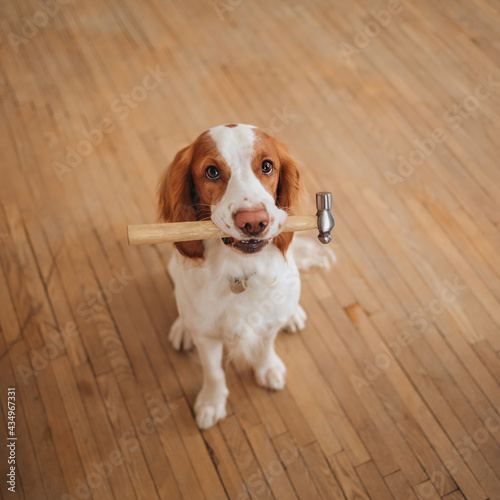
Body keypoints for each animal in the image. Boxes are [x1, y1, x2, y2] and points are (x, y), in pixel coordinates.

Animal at [158, 125, 308, 430]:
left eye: (267, 166)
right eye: (212, 171)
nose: (253, 221)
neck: (239, 270)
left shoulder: (270, 320)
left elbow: (266, 345)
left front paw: (267, 369)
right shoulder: (206, 336)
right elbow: (213, 372)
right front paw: (211, 403)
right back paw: (182, 328)